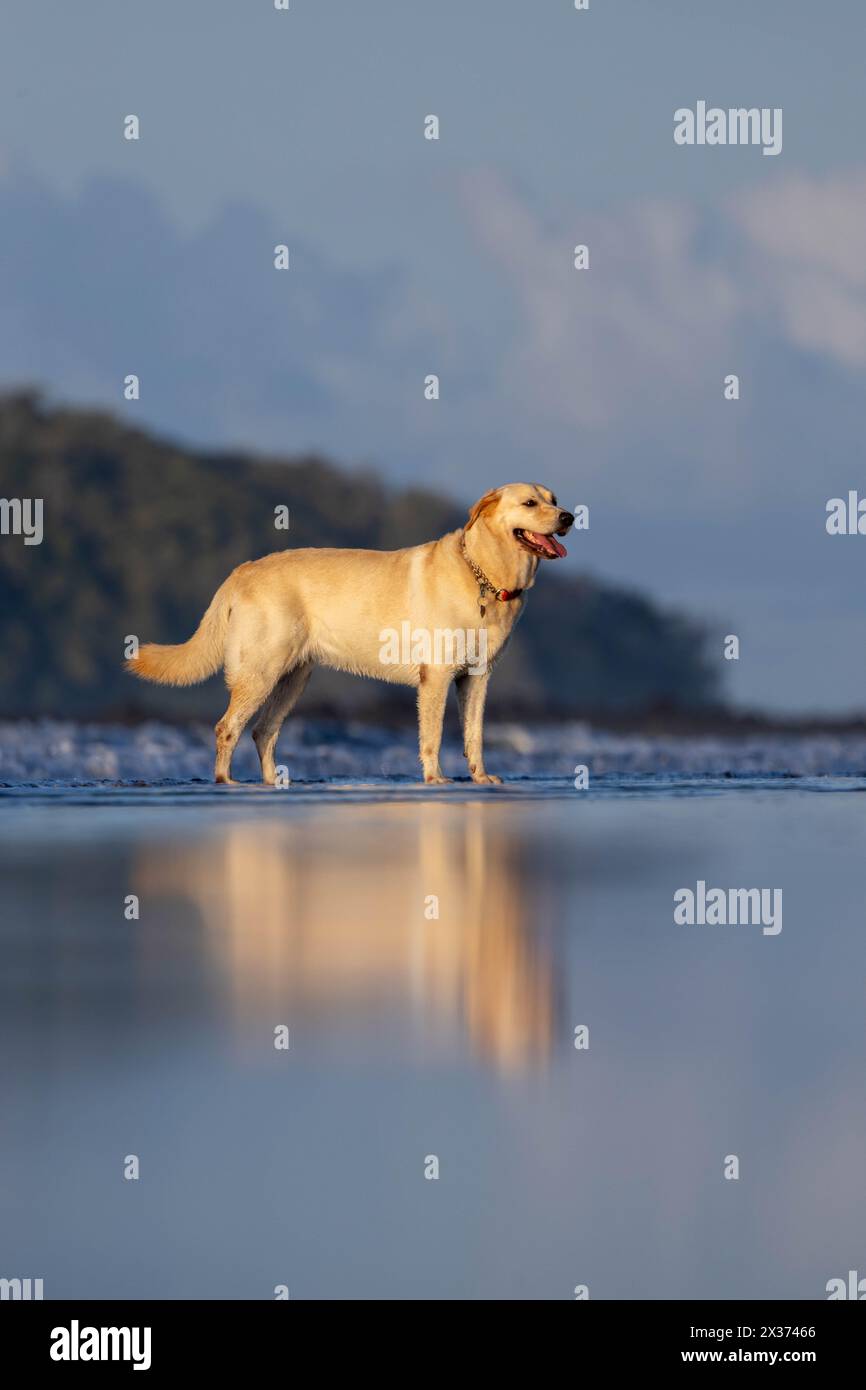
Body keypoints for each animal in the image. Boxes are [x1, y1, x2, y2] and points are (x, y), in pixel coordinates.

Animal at [128, 483, 572, 783]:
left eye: (553, 498)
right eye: (530, 503)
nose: (568, 517)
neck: (483, 574)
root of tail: (241, 570)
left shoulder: (477, 678)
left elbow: (474, 734)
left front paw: (480, 778)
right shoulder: (436, 676)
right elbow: (433, 734)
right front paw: (436, 780)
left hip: (293, 679)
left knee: (262, 731)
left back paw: (271, 784)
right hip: (260, 672)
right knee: (227, 728)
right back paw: (226, 782)